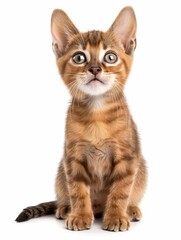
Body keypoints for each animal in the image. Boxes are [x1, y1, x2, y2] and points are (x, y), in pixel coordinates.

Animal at [15, 6, 147, 232]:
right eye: (79, 58)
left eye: (110, 57)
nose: (94, 69)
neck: (96, 115)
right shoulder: (73, 158)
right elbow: (77, 191)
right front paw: (80, 215)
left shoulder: (128, 158)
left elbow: (120, 191)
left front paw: (116, 216)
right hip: (61, 170)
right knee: (65, 194)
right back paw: (64, 208)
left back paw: (130, 209)